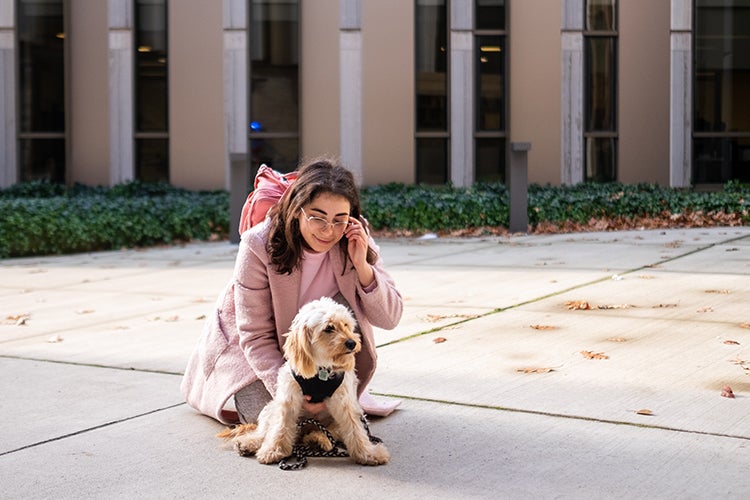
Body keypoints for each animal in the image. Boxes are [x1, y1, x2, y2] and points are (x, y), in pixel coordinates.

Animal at [220, 296, 390, 464]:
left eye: (346, 325)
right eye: (329, 328)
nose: (352, 343)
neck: (321, 369)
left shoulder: (345, 404)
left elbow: (355, 430)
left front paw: (368, 454)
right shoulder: (288, 400)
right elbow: (279, 427)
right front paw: (273, 450)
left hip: (337, 421)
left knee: (330, 432)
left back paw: (318, 440)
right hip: (270, 409)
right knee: (264, 433)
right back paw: (248, 443)